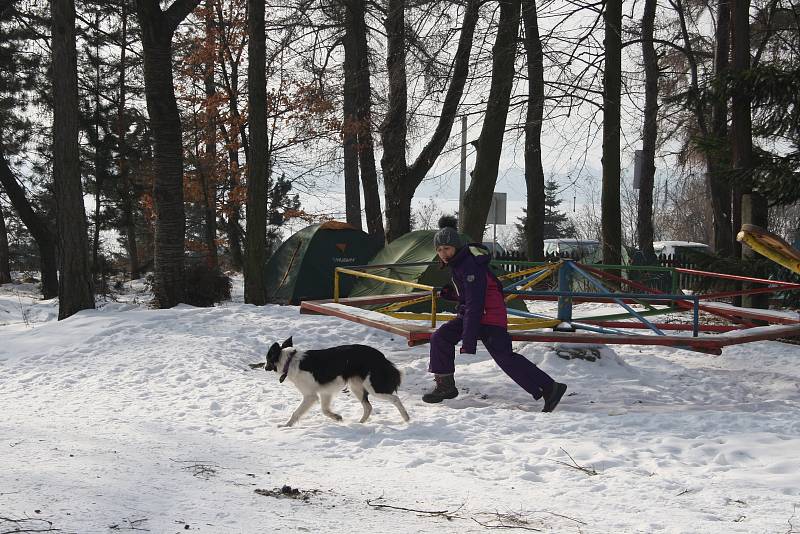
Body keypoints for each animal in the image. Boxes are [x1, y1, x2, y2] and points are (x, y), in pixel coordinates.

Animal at [266, 340, 410, 428]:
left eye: (267, 359)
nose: (264, 367)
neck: (290, 361)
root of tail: (381, 357)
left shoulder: (310, 396)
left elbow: (296, 413)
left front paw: (286, 426)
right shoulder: (325, 392)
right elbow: (325, 410)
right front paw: (337, 417)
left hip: (373, 388)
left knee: (395, 399)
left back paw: (406, 418)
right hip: (357, 387)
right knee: (368, 407)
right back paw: (360, 423)